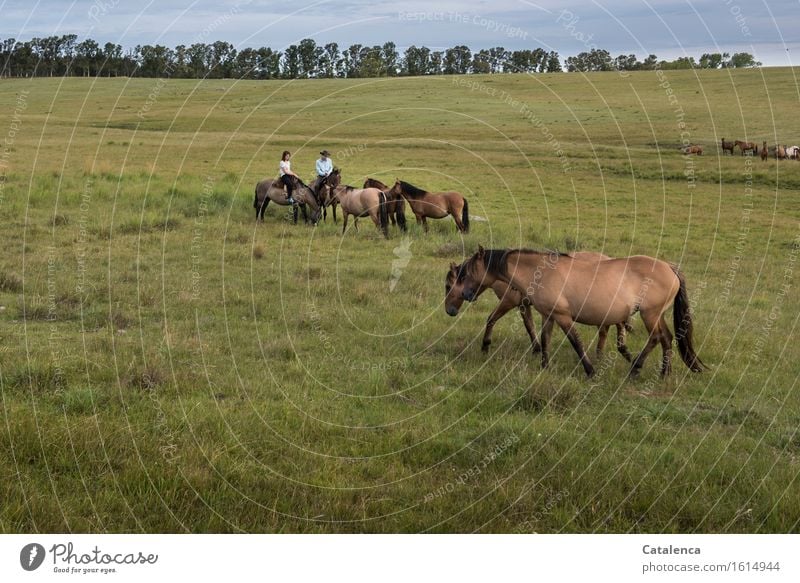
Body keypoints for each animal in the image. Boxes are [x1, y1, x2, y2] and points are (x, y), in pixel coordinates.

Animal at [440, 252, 636, 360]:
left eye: (448, 286)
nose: (449, 311)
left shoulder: (509, 302)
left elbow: (491, 319)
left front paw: (485, 345)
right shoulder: (523, 305)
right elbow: (530, 326)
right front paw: (537, 349)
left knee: (614, 326)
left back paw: (621, 351)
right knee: (609, 327)